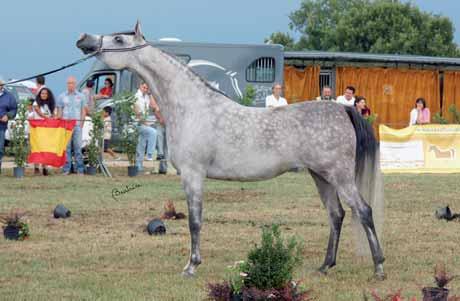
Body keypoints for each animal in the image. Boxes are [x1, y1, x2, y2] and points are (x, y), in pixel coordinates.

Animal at [78, 21, 384, 278]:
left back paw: (378, 267)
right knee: (336, 215)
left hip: (339, 176)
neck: (192, 107)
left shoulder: (192, 175)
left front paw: (191, 266)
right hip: (321, 176)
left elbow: (195, 221)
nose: (84, 39)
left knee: (363, 211)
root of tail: (342, 109)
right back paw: (325, 266)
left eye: (119, 39)